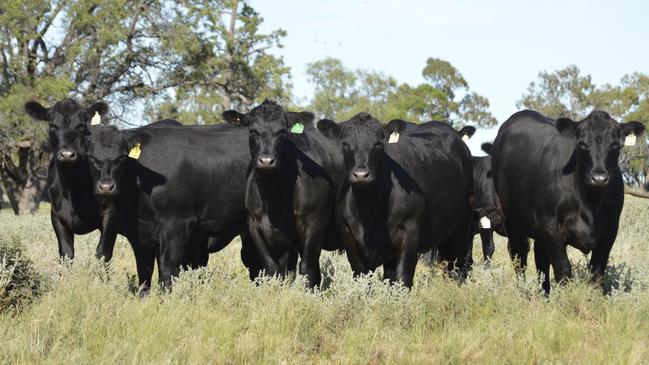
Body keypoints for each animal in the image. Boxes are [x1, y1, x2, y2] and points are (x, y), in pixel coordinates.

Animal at [25, 98, 109, 260]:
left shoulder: (109, 214)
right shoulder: (57, 217)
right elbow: (66, 253)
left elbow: (102, 253)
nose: (67, 154)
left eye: (81, 125)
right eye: (52, 125)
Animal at [223, 100, 344, 288]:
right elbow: (271, 268)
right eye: (252, 131)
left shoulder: (313, 223)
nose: (266, 161)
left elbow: (308, 269)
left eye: (282, 132)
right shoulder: (255, 225)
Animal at [316, 112, 474, 286]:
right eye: (345, 144)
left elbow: (402, 277)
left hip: (463, 226)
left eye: (378, 144)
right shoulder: (349, 234)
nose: (361, 175)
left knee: (461, 263)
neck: (369, 209)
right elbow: (362, 276)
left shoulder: (410, 232)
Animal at [492, 109, 644, 292]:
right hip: (513, 222)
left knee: (541, 261)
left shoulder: (610, 231)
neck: (590, 203)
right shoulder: (551, 226)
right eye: (582, 144)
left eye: (615, 144)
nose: (599, 178)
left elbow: (597, 273)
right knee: (519, 258)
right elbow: (563, 269)